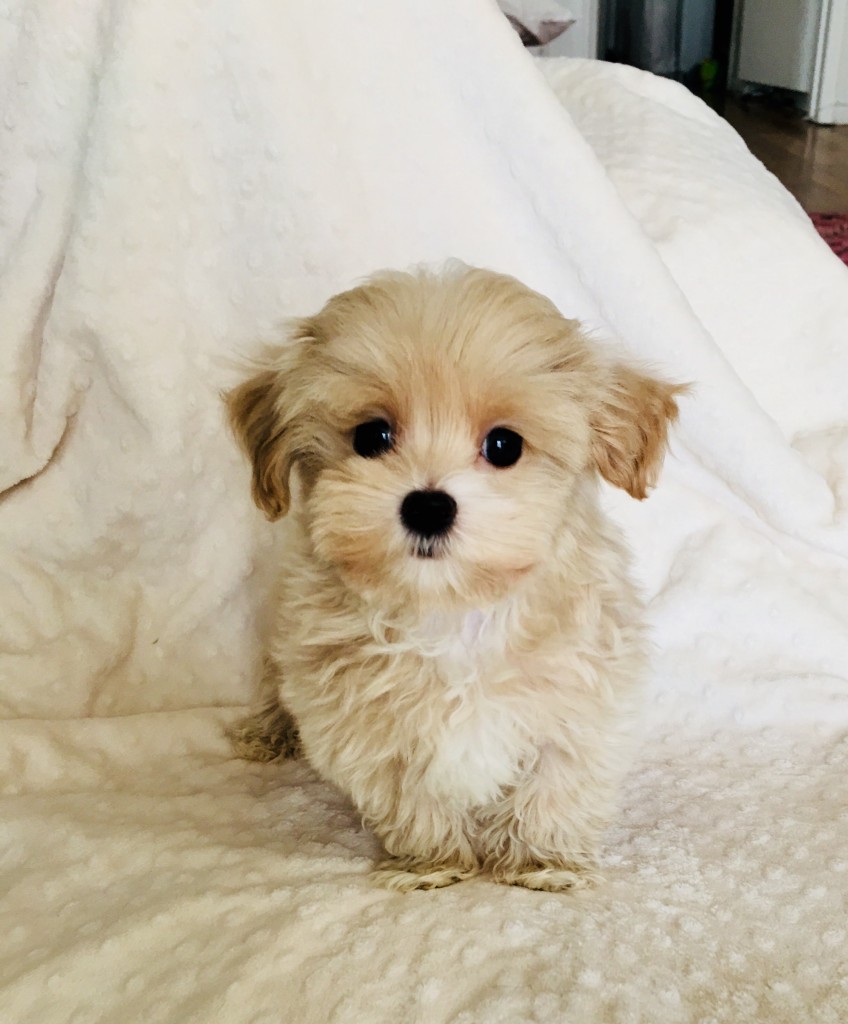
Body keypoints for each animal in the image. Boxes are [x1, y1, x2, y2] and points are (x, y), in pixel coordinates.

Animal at [227, 268, 684, 892]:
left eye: (504, 445)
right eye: (371, 437)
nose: (427, 506)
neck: (454, 610)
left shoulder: (581, 702)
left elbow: (554, 786)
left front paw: (541, 861)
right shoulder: (364, 725)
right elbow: (411, 799)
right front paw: (435, 863)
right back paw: (266, 730)